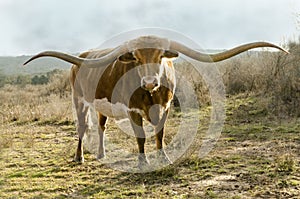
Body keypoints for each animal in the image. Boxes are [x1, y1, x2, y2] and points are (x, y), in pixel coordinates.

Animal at [24, 35, 288, 166]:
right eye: (136, 57)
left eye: (161, 55)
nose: (150, 82)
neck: (151, 94)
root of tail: (81, 58)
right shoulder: (132, 110)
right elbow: (141, 137)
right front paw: (143, 162)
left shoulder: (166, 107)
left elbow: (160, 134)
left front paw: (163, 157)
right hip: (78, 100)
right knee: (81, 128)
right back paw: (79, 157)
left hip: (100, 106)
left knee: (100, 126)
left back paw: (101, 154)